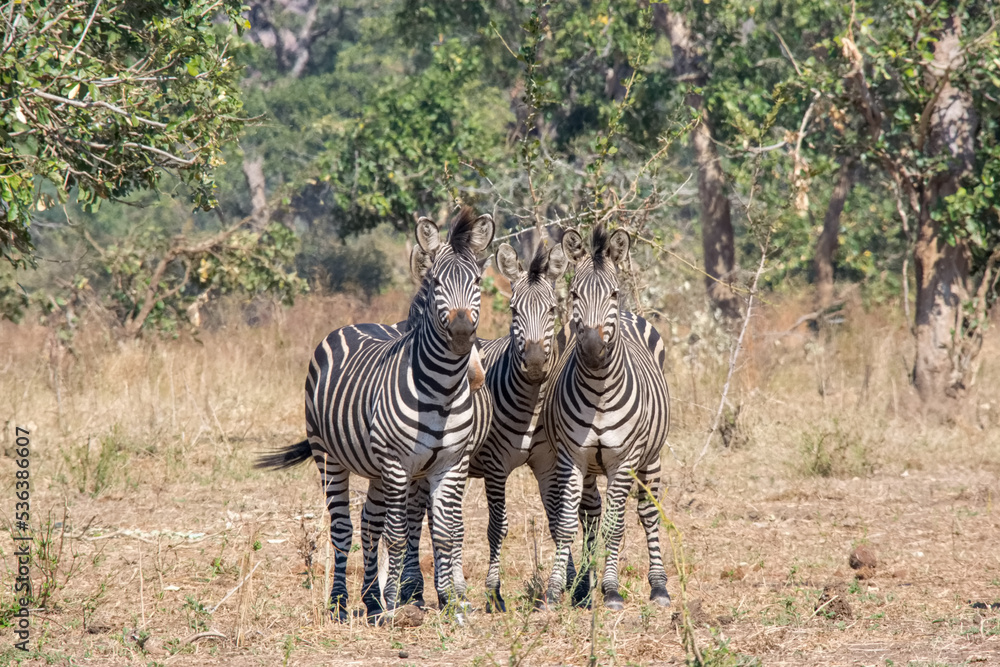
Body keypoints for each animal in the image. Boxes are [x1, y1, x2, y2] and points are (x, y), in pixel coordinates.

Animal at [256, 208, 494, 622]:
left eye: (478, 281)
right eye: (435, 282)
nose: (463, 331)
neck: (443, 390)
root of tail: (353, 325)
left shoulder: (450, 463)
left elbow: (446, 532)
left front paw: (452, 603)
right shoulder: (399, 463)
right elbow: (398, 534)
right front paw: (399, 603)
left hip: (375, 467)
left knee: (369, 522)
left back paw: (370, 600)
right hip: (329, 456)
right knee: (344, 528)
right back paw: (340, 602)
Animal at [539, 224, 672, 611]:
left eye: (613, 293)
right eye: (574, 294)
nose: (593, 350)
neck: (598, 389)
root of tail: (629, 315)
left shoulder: (623, 461)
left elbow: (616, 526)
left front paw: (611, 590)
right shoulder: (571, 457)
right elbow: (568, 523)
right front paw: (556, 590)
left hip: (651, 458)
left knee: (647, 513)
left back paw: (659, 586)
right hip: (589, 468)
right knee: (591, 515)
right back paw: (584, 587)